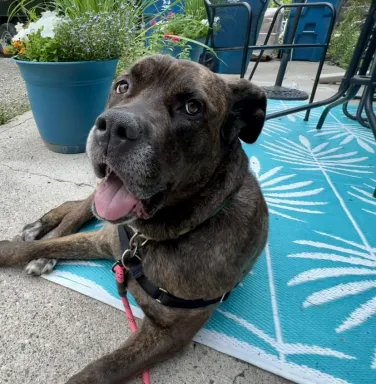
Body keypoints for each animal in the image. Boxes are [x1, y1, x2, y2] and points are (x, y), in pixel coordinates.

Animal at [0, 54, 270, 384]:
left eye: (193, 107)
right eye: (122, 86)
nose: (114, 126)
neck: (154, 236)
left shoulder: (171, 332)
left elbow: (103, 369)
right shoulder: (103, 240)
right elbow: (28, 248)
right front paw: (24, 249)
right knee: (73, 211)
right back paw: (42, 232)